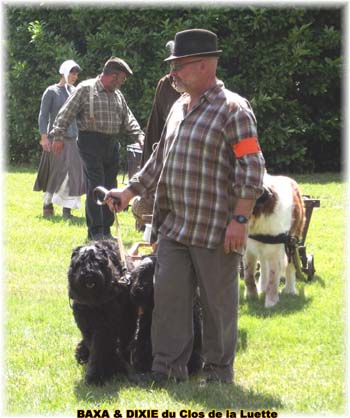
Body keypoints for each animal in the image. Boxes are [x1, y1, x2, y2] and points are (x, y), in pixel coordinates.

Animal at [245, 173, 304, 306]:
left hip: (292, 242)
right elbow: (248, 274)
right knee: (263, 264)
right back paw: (262, 287)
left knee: (290, 265)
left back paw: (289, 289)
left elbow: (273, 277)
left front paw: (271, 302)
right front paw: (251, 296)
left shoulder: (275, 250)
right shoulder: (249, 249)